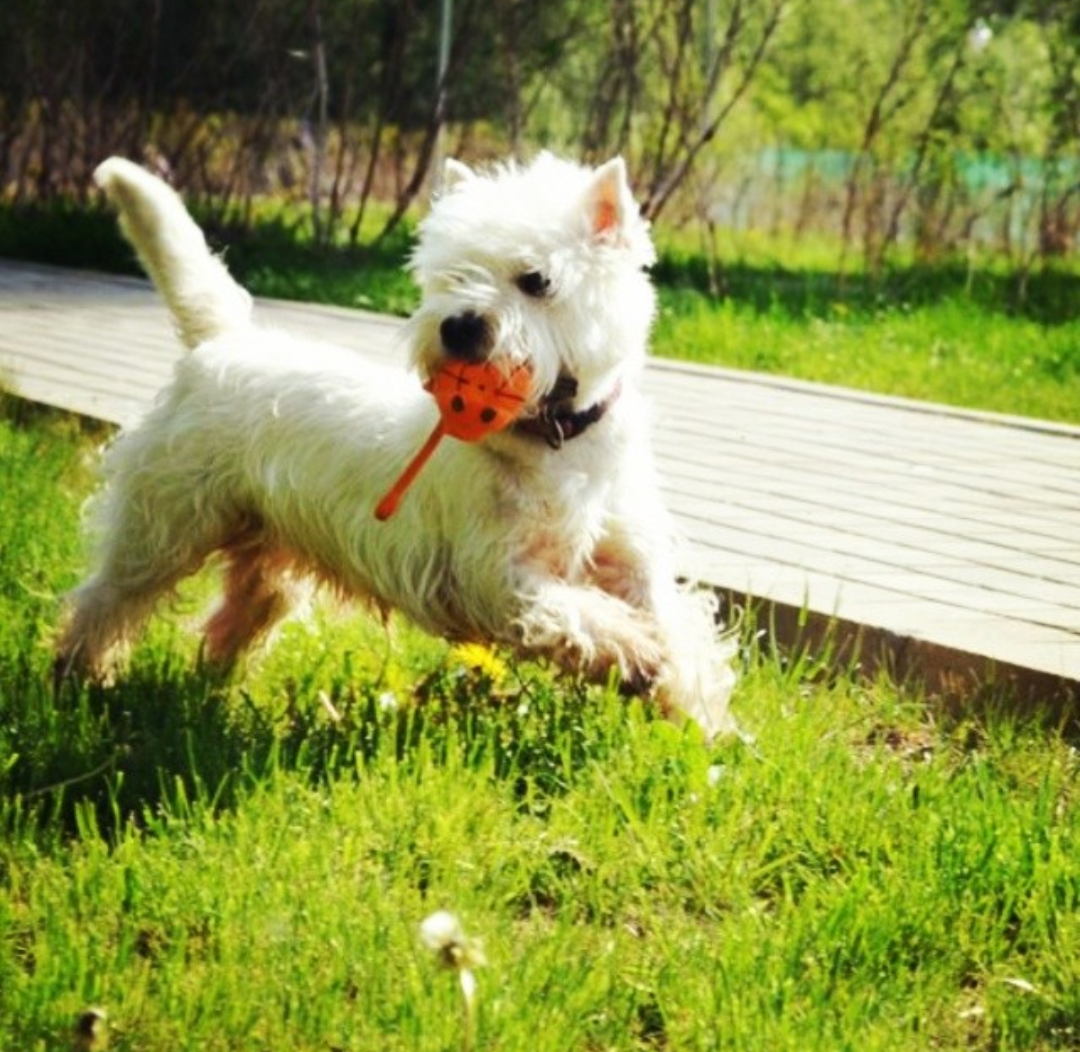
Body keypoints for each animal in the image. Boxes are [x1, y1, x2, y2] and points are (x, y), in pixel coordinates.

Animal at [56, 154, 734, 734]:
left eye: (536, 280)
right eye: (452, 275)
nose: (459, 326)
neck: (559, 441)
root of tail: (221, 340)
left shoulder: (633, 559)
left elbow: (678, 627)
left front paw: (700, 718)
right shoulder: (495, 573)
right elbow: (575, 614)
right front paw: (637, 653)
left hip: (267, 551)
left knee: (236, 615)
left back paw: (210, 688)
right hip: (167, 520)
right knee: (107, 599)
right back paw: (80, 679)